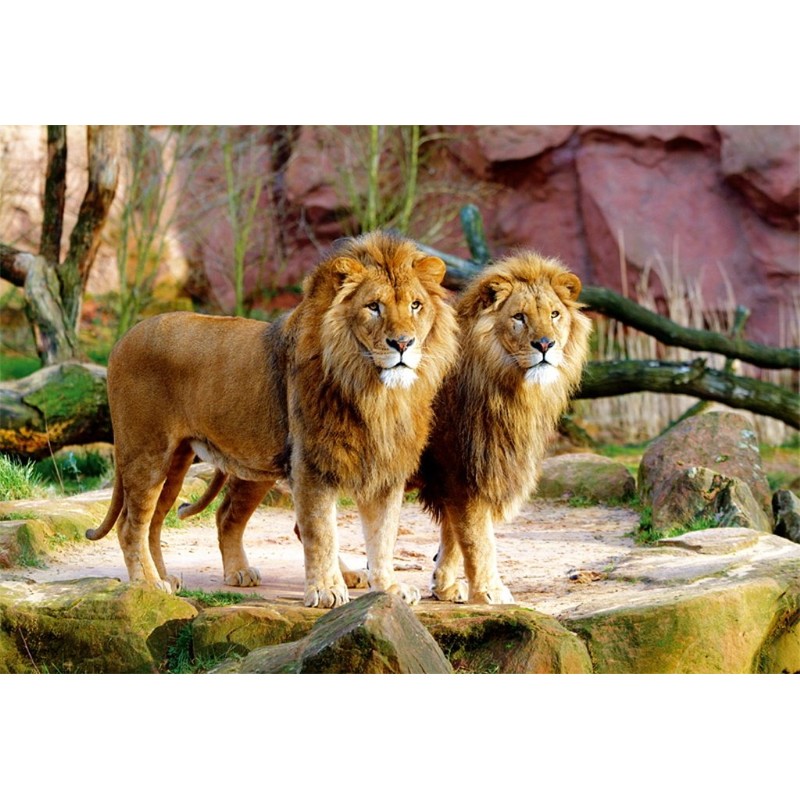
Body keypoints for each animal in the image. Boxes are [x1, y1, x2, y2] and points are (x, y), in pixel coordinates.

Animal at [86, 231, 459, 608]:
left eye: (415, 305)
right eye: (373, 306)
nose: (403, 343)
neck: (374, 390)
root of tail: (122, 340)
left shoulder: (386, 468)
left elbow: (383, 536)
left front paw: (390, 588)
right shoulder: (312, 464)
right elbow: (321, 532)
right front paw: (326, 590)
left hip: (180, 462)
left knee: (161, 521)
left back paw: (174, 577)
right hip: (147, 453)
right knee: (131, 525)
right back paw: (148, 584)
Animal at [413, 251, 592, 604]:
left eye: (554, 314)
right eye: (519, 317)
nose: (545, 345)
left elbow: (452, 533)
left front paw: (445, 586)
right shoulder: (464, 469)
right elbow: (477, 537)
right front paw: (490, 592)